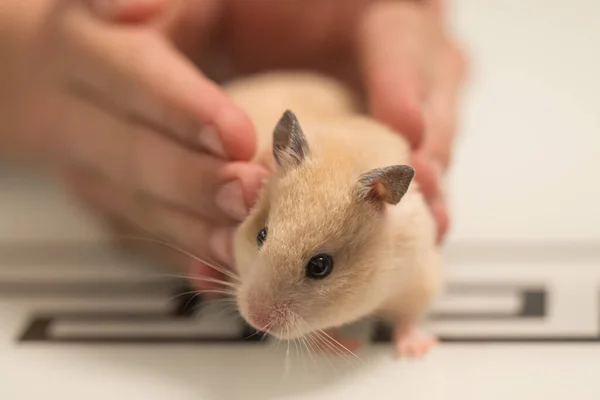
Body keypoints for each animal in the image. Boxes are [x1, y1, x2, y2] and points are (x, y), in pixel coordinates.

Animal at [223, 71, 442, 356]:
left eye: (320, 266)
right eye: (261, 235)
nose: (256, 320)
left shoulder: (420, 275)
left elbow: (410, 316)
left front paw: (415, 351)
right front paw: (341, 347)